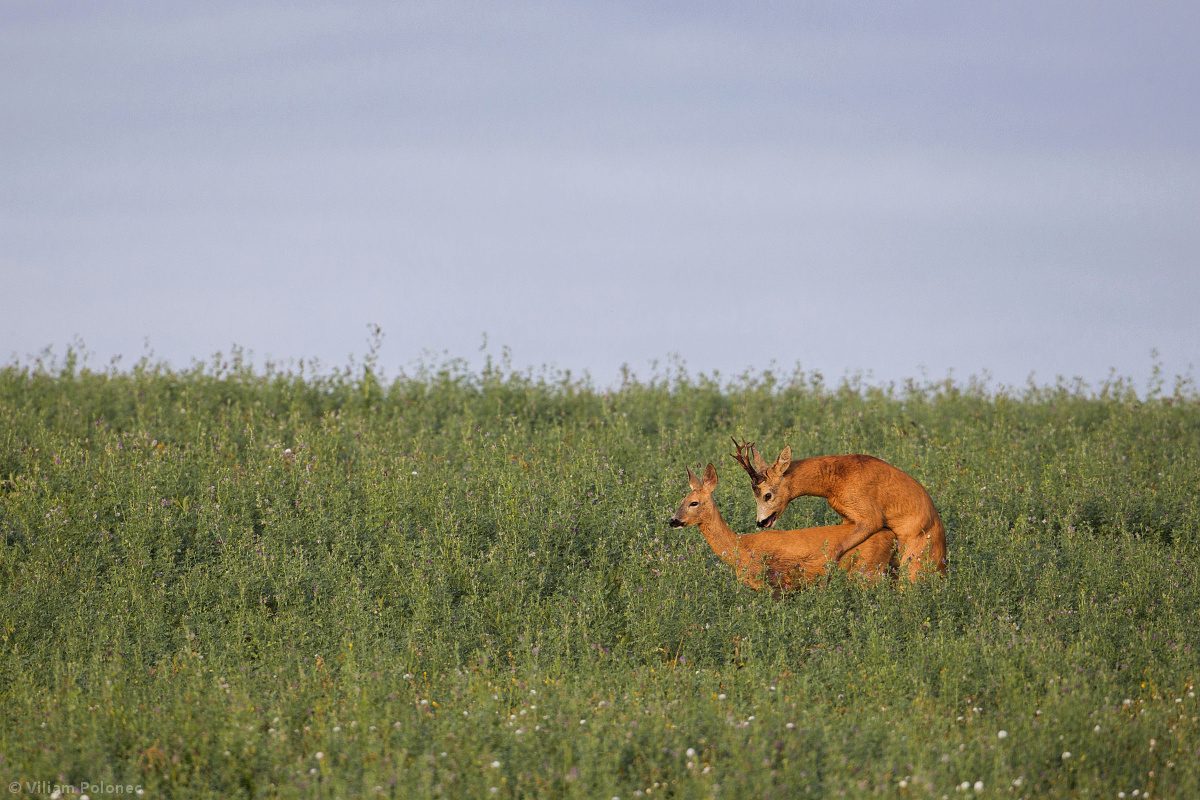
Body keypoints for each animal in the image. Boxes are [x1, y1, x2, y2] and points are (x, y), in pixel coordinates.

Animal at [667, 465, 902, 592]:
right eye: (681, 499)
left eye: (694, 503)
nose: (673, 520)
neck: (740, 547)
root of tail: (890, 534)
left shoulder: (771, 584)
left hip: (868, 571)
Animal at [729, 438, 945, 582]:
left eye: (767, 495)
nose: (761, 522)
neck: (836, 479)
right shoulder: (848, 518)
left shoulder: (871, 518)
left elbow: (838, 547)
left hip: (914, 561)